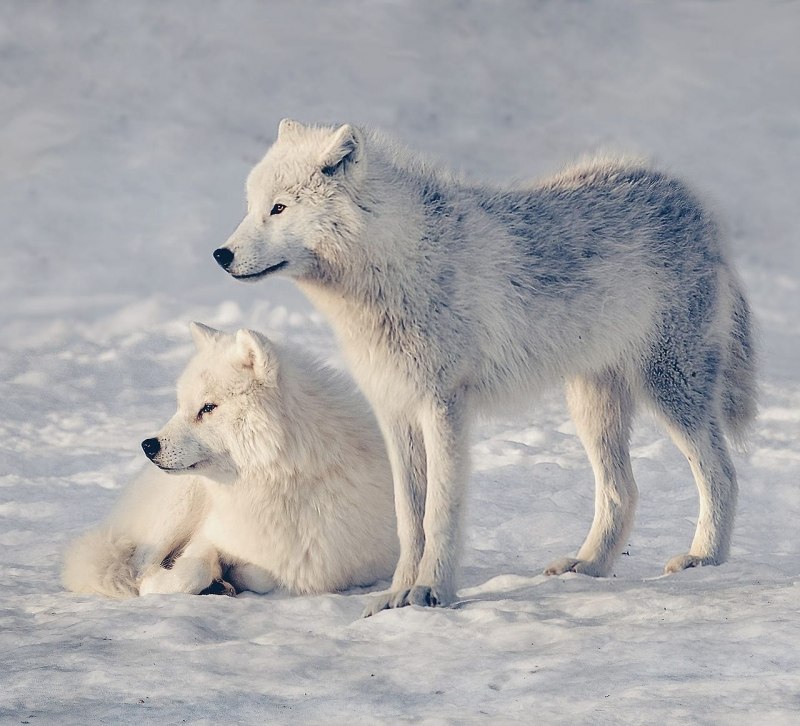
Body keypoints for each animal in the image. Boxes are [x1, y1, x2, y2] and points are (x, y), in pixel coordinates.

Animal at [63, 322, 398, 598]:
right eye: (181, 405)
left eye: (208, 408)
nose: (148, 445)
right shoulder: (207, 535)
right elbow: (188, 571)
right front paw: (169, 581)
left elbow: (262, 574)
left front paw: (229, 576)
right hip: (177, 509)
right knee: (137, 564)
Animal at [212, 120, 756, 616]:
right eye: (251, 206)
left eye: (278, 208)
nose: (221, 254)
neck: (397, 265)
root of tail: (693, 198)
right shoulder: (396, 412)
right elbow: (410, 519)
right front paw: (395, 596)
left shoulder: (443, 407)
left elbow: (440, 513)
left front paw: (431, 593)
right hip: (591, 405)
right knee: (624, 490)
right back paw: (588, 566)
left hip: (670, 389)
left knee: (722, 473)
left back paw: (704, 560)